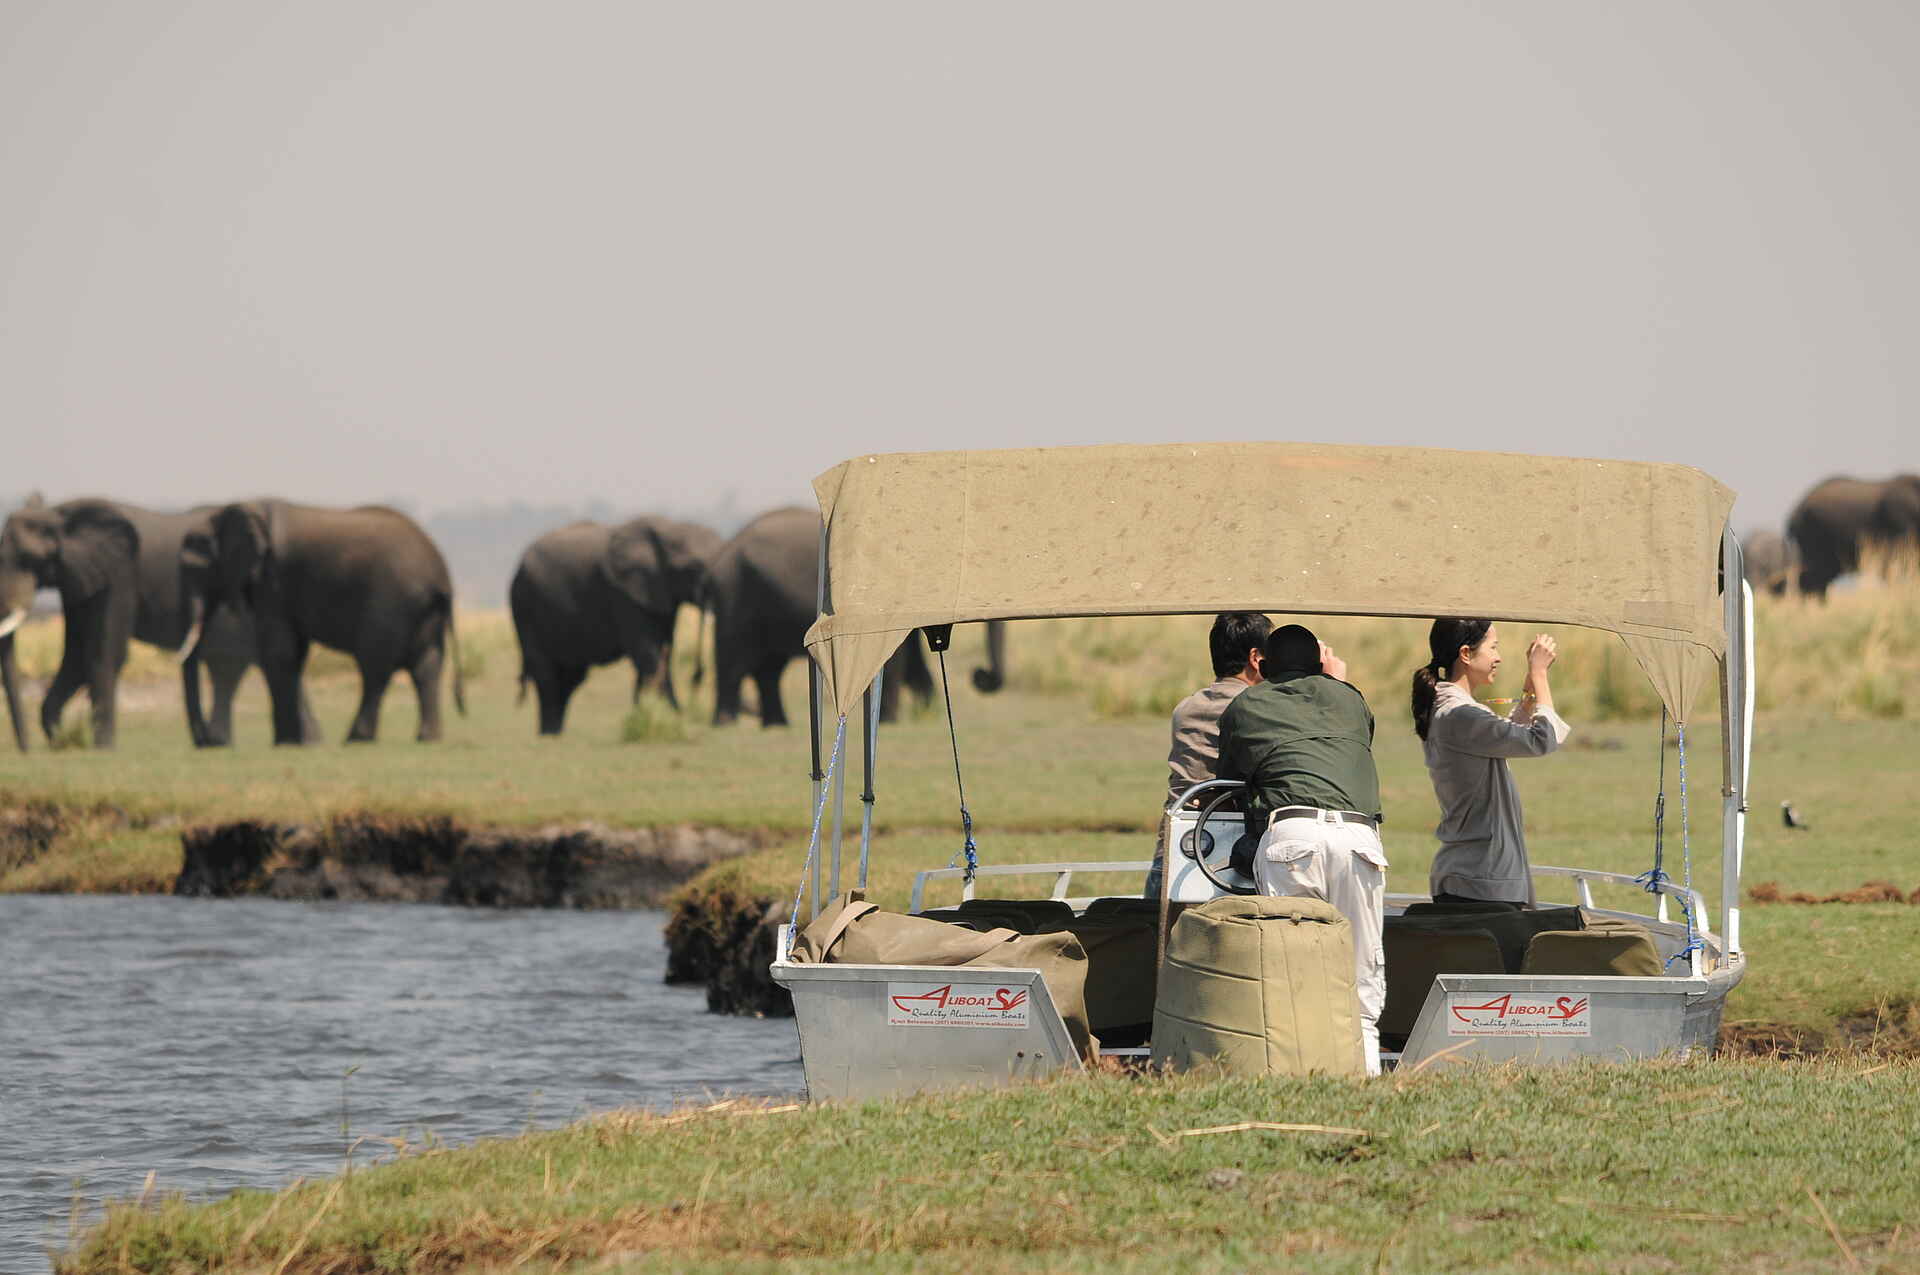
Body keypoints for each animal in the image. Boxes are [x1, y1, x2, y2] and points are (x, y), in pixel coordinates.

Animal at [0, 496, 315, 750]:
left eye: (28, 559)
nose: (27, 750)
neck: (57, 513)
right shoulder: (79, 577)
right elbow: (76, 656)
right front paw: (61, 738)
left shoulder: (119, 571)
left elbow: (105, 653)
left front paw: (102, 747)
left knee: (232, 666)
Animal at [195, 500, 465, 744]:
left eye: (199, 560)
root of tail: (441, 577)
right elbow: (291, 653)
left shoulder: (273, 582)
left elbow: (279, 652)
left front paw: (287, 742)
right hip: (424, 613)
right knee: (426, 666)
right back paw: (427, 738)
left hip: (391, 602)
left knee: (375, 667)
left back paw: (356, 738)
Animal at [509, 515, 721, 735]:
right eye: (693, 568)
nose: (697, 676)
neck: (669, 527)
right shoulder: (623, 595)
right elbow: (647, 652)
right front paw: (675, 717)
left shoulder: (660, 596)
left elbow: (664, 651)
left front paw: (645, 711)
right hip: (523, 605)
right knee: (546, 674)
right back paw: (549, 734)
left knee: (570, 678)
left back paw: (555, 733)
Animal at [697, 506, 1007, 727]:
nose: (980, 675)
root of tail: (721, 552)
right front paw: (892, 721)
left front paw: (925, 714)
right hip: (735, 592)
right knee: (734, 660)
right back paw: (726, 724)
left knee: (769, 668)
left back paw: (777, 725)